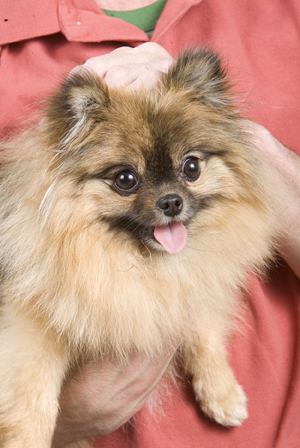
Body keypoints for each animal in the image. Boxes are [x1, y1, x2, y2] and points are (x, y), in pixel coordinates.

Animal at [0, 47, 278, 446]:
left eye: (191, 167)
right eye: (126, 179)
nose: (171, 201)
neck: (140, 263)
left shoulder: (193, 286)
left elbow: (204, 332)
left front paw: (222, 391)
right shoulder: (30, 323)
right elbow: (32, 393)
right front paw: (26, 439)